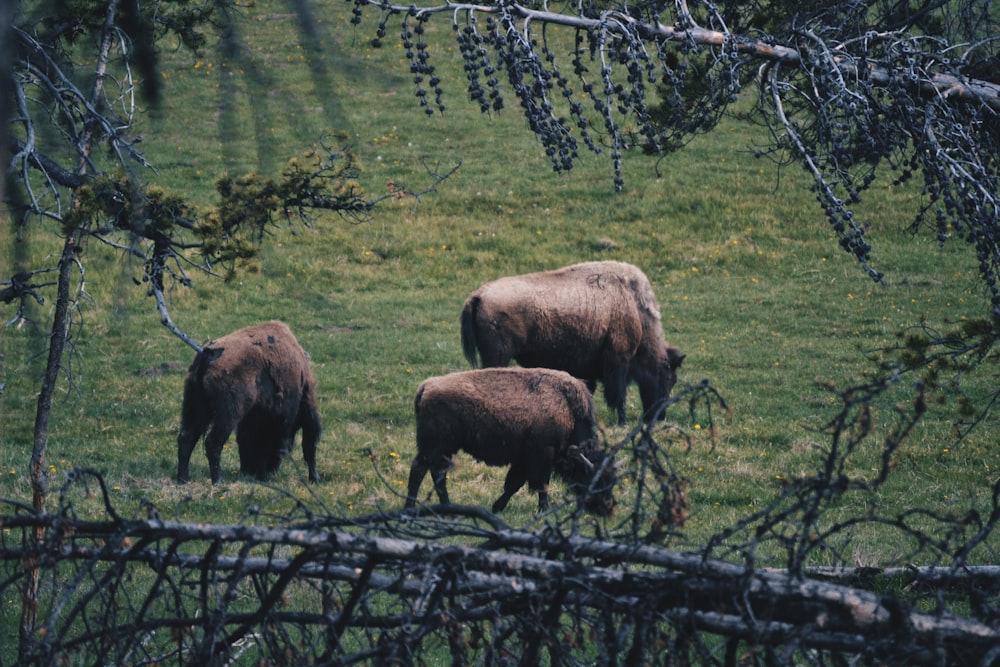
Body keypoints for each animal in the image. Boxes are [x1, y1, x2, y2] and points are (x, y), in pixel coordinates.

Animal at [177, 320, 320, 482]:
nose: (248, 471)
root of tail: (207, 354)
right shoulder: (306, 410)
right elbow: (309, 445)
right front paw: (315, 478)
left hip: (195, 408)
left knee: (186, 438)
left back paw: (183, 480)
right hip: (227, 415)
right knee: (212, 443)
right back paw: (218, 480)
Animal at [402, 366, 612, 516]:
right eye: (595, 479)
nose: (606, 510)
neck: (567, 409)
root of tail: (427, 386)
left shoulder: (524, 460)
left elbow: (514, 484)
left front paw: (497, 507)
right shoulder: (543, 455)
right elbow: (541, 485)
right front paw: (544, 510)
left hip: (445, 449)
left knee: (437, 474)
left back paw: (448, 508)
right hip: (435, 446)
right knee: (419, 469)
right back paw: (410, 509)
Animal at [462, 260, 684, 422]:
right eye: (669, 377)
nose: (660, 417)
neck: (635, 308)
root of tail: (478, 295)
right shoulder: (618, 360)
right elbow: (618, 394)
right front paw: (623, 421)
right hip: (498, 357)